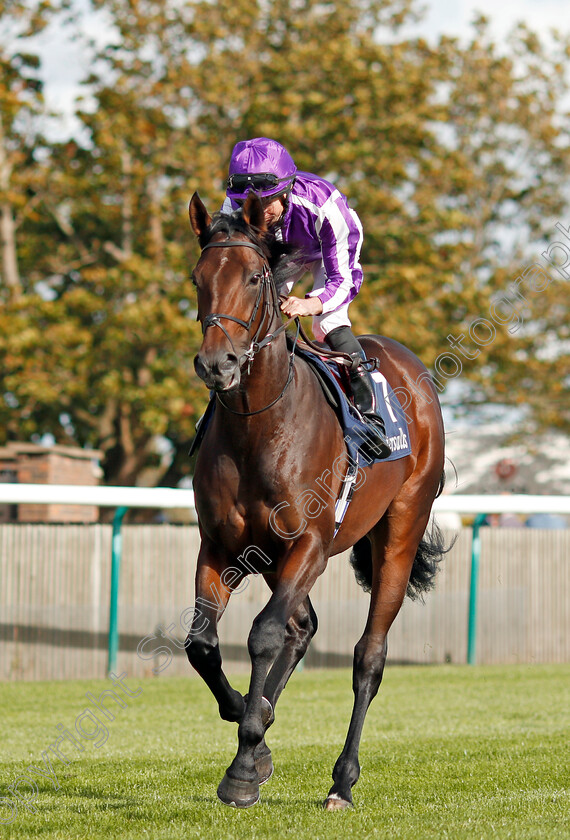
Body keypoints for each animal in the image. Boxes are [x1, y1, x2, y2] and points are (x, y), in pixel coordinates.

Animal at [184, 190, 446, 808]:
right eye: (197, 278)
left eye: (255, 277)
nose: (216, 364)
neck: (259, 425)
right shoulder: (222, 546)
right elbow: (202, 644)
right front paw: (250, 730)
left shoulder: (308, 541)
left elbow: (263, 634)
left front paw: (244, 762)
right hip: (283, 558)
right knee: (303, 629)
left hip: (398, 530)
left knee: (367, 656)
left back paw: (342, 781)